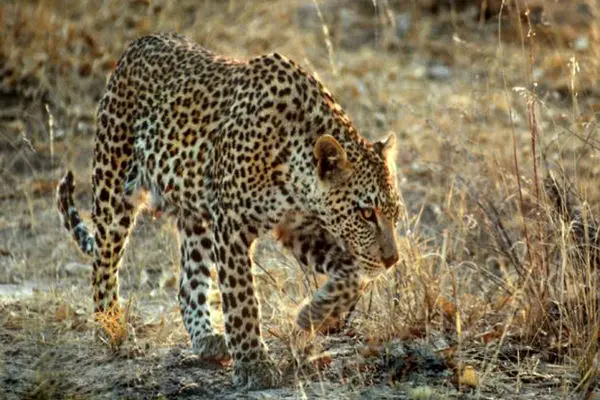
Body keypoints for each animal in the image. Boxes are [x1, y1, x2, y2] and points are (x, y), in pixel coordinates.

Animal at [57, 32, 404, 390]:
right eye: (366, 214)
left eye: (394, 214)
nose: (393, 259)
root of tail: (138, 44)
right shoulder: (233, 227)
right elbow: (242, 299)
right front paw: (255, 365)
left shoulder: (298, 228)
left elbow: (351, 273)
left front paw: (315, 314)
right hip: (114, 186)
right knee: (103, 264)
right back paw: (110, 328)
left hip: (196, 214)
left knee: (187, 283)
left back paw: (207, 338)